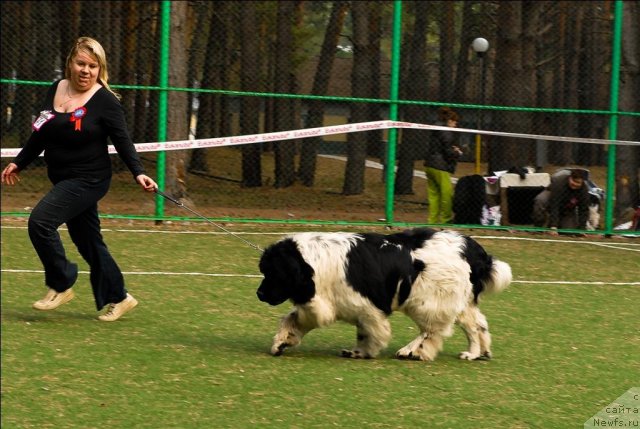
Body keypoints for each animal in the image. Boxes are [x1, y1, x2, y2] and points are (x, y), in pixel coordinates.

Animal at [255, 227, 510, 362]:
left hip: (428, 300)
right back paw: (476, 352)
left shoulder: (367, 308)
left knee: (432, 330)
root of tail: (471, 248)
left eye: (273, 273)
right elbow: (293, 320)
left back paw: (412, 350)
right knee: (476, 326)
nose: (259, 293)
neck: (312, 263)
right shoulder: (323, 303)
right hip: (458, 301)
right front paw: (283, 341)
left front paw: (364, 352)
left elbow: (372, 332)